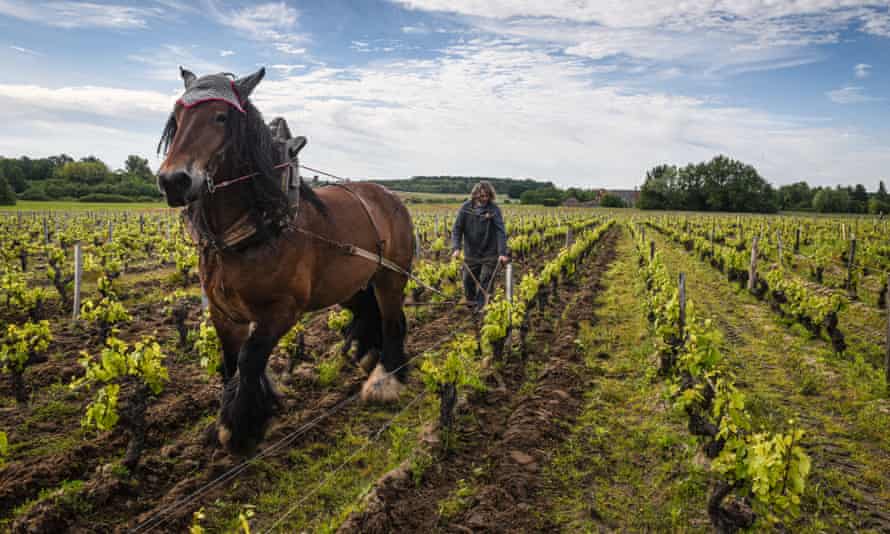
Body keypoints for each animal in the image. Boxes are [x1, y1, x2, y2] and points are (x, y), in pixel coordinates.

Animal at [156, 68, 412, 456]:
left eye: (221, 117)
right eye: (176, 116)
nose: (174, 181)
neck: (255, 228)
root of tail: (389, 196)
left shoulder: (282, 310)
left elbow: (249, 359)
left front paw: (241, 428)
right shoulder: (222, 312)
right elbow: (230, 362)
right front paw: (239, 418)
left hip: (390, 276)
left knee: (393, 319)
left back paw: (385, 380)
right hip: (349, 285)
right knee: (370, 312)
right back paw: (367, 355)